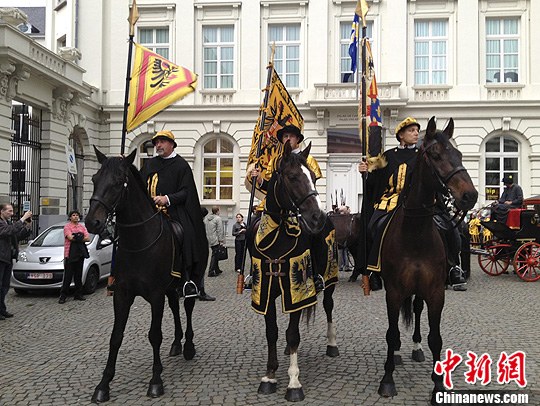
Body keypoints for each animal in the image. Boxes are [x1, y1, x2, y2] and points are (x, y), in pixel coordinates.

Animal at [83, 147, 195, 402]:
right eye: (94, 179)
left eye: (118, 182)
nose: (92, 222)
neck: (139, 242)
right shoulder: (122, 294)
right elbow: (116, 336)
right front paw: (103, 385)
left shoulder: (155, 294)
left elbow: (155, 334)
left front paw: (155, 381)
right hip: (170, 288)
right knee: (175, 308)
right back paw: (177, 342)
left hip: (188, 281)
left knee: (187, 307)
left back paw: (188, 346)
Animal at [249, 141, 338, 402]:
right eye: (292, 176)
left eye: (314, 178)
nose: (317, 217)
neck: (278, 239)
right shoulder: (266, 291)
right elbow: (272, 332)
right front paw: (269, 376)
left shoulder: (297, 290)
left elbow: (293, 333)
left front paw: (294, 382)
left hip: (329, 280)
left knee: (328, 306)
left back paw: (332, 344)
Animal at [376, 116, 476, 404]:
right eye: (436, 155)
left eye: (459, 154)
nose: (470, 196)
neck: (415, 234)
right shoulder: (393, 291)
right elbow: (392, 333)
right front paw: (387, 379)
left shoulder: (435, 292)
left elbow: (436, 338)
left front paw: (438, 383)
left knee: (417, 309)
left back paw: (416, 347)